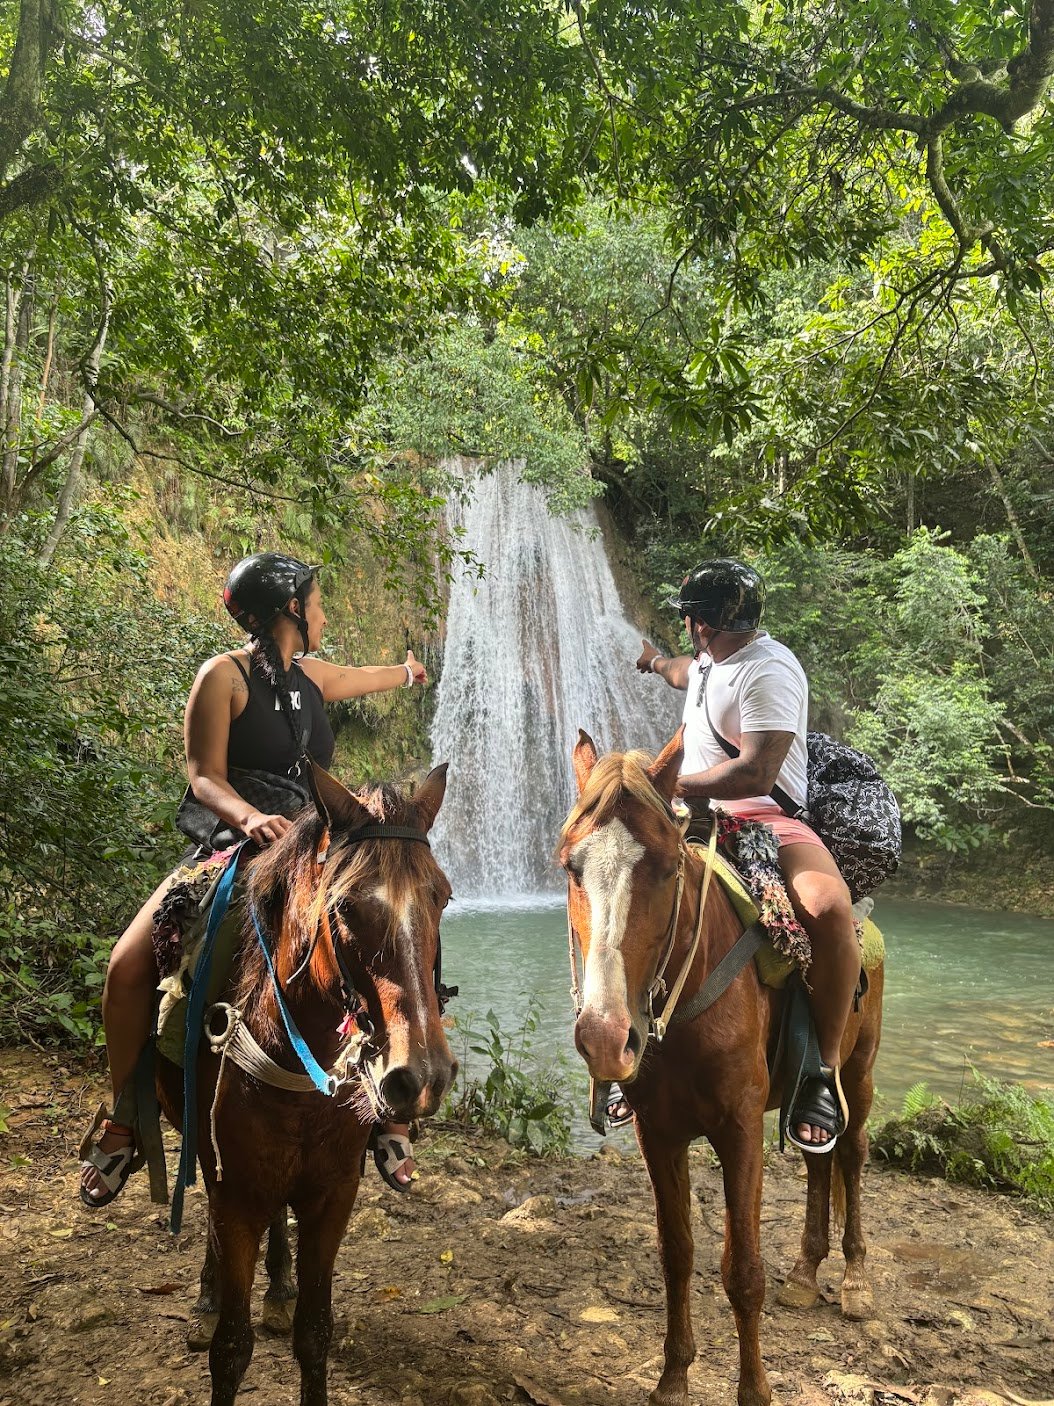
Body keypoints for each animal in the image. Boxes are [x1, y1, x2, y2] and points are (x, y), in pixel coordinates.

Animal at [156, 761, 458, 1406]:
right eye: (343, 907)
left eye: (443, 896)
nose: (420, 1076)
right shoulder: (234, 1194)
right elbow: (231, 1348)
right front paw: (221, 1309)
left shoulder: (333, 1195)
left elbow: (314, 1332)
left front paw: (288, 1297)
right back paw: (208, 1299)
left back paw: (277, 1286)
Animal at [558, 729, 885, 1406]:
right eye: (572, 867)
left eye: (664, 867)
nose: (606, 1038)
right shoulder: (658, 1132)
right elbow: (677, 1252)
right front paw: (672, 1379)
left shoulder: (740, 1130)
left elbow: (743, 1270)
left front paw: (754, 1390)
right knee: (817, 1156)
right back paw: (806, 1272)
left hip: (859, 1074)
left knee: (851, 1155)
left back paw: (855, 1280)